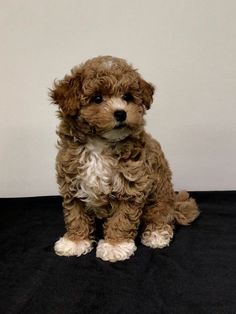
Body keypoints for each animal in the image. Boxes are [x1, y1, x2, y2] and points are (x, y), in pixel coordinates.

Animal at [50, 55, 199, 262]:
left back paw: (157, 234)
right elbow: (75, 214)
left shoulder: (132, 185)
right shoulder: (72, 181)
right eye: (97, 98)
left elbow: (122, 218)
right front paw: (75, 241)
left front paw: (115, 246)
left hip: (160, 198)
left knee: (161, 216)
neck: (100, 143)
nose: (121, 113)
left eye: (127, 97)